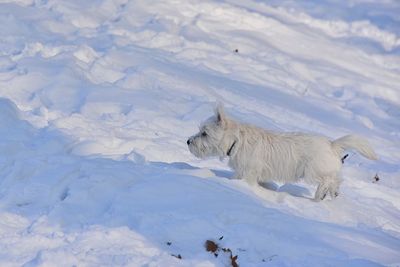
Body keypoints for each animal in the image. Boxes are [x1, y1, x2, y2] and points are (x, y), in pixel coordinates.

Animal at [188, 105, 378, 202]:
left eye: (204, 133)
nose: (188, 141)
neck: (237, 141)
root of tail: (332, 145)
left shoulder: (247, 173)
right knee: (336, 180)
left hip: (313, 171)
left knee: (330, 179)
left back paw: (321, 194)